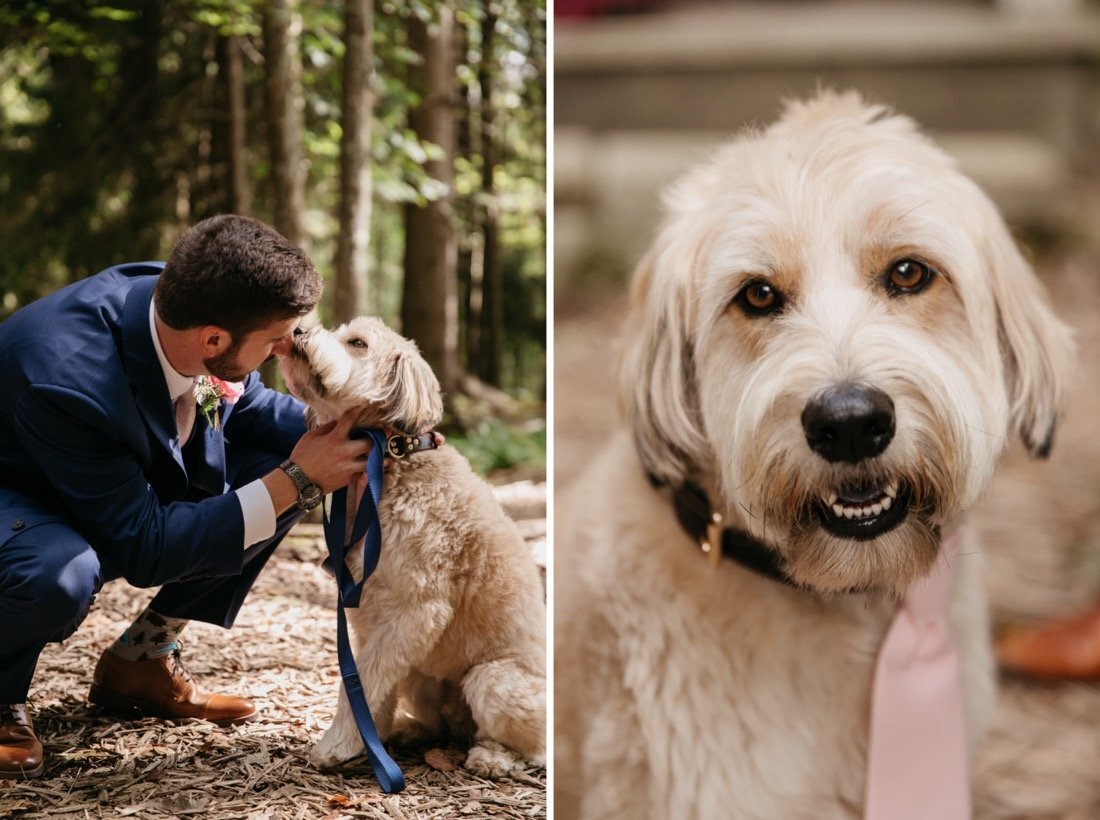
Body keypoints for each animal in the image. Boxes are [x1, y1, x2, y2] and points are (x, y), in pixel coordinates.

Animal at [279, 316, 545, 779]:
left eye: (357, 343)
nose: (298, 330)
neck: (390, 462)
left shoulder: (416, 609)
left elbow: (362, 679)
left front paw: (338, 743)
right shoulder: (368, 613)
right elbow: (368, 682)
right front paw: (369, 740)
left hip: (492, 680)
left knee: (534, 747)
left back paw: (493, 757)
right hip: (422, 678)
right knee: (442, 724)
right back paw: (412, 731)